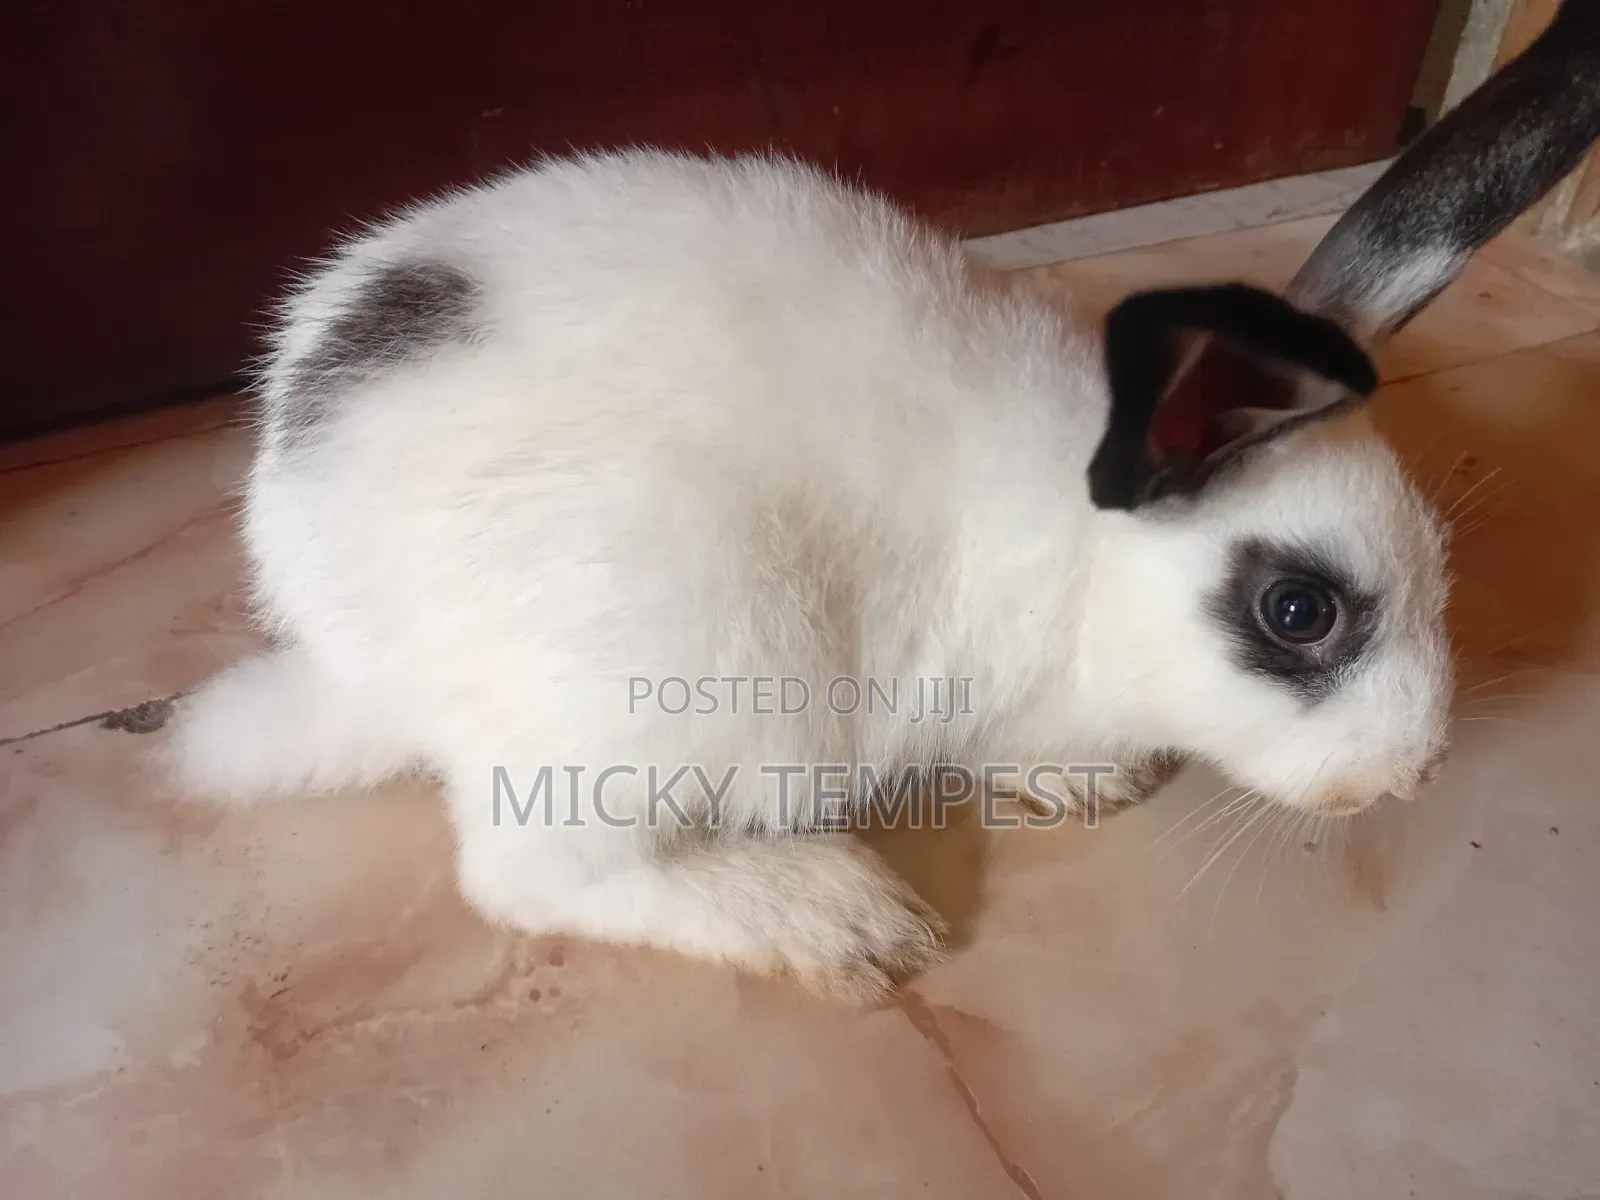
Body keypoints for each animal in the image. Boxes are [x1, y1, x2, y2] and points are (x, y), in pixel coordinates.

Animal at [165, 0, 1600, 1002]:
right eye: (1297, 611)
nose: (1410, 775)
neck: (1086, 562)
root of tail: (356, 656)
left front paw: (1083, 786)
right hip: (684, 652)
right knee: (532, 876)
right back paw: (834, 919)